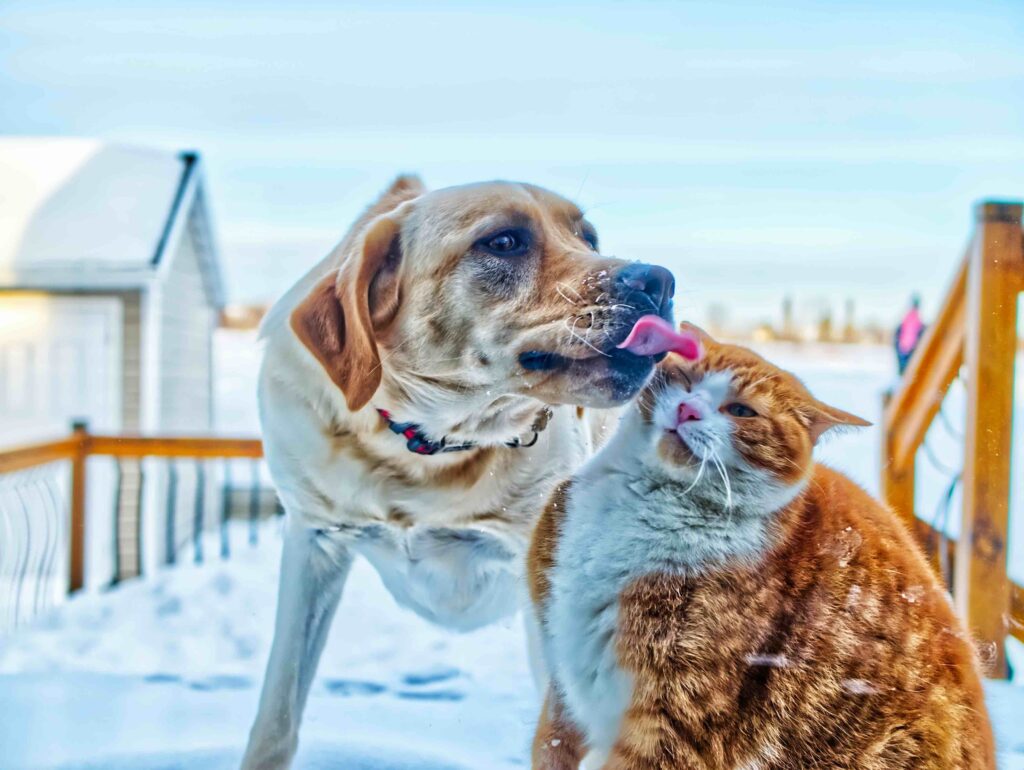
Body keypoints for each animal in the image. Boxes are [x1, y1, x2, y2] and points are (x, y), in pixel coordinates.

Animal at [238, 177, 671, 765]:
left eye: (588, 237)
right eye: (504, 242)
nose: (661, 281)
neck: (429, 448)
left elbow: (559, 735)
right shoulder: (314, 541)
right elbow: (278, 712)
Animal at [528, 327, 991, 770]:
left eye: (741, 411)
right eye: (686, 379)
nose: (687, 409)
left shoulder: (676, 718)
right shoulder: (562, 682)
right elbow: (551, 743)